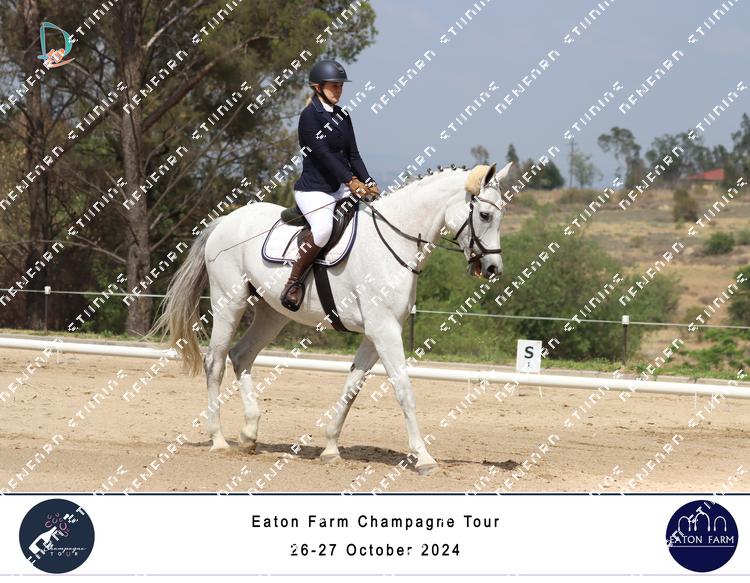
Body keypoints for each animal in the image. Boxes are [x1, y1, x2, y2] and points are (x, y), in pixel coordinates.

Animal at [148, 161, 513, 475]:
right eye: (483, 214)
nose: (493, 269)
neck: (395, 243)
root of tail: (224, 221)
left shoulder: (376, 333)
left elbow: (352, 387)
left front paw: (330, 448)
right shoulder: (385, 330)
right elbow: (403, 390)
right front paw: (423, 457)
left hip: (271, 313)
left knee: (241, 356)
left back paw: (250, 434)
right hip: (229, 301)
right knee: (216, 361)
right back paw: (219, 440)